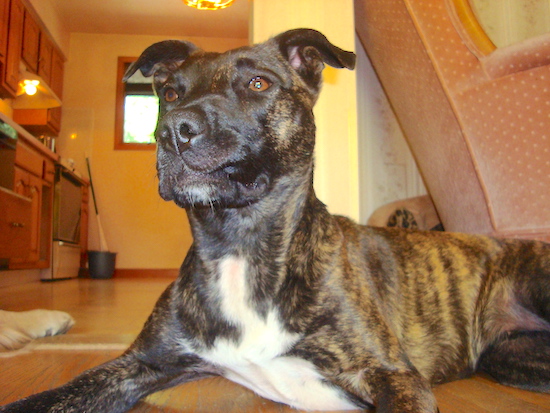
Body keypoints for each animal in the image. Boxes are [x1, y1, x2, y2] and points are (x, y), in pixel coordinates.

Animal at [1, 27, 550, 410]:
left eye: (258, 83)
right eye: (170, 93)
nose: (174, 131)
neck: (239, 247)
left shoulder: (392, 375)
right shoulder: (140, 362)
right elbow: (48, 399)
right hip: (512, 357)